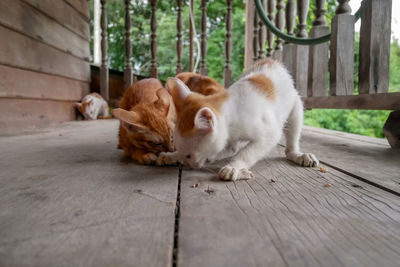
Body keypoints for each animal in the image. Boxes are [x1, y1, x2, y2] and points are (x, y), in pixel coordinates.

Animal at [158, 58, 318, 182]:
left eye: (189, 155)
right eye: (182, 153)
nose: (189, 165)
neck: (231, 111)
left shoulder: (269, 133)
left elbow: (249, 151)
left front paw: (234, 167)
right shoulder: (229, 139)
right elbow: (225, 150)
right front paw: (172, 156)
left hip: (295, 106)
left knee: (292, 134)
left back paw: (297, 154)